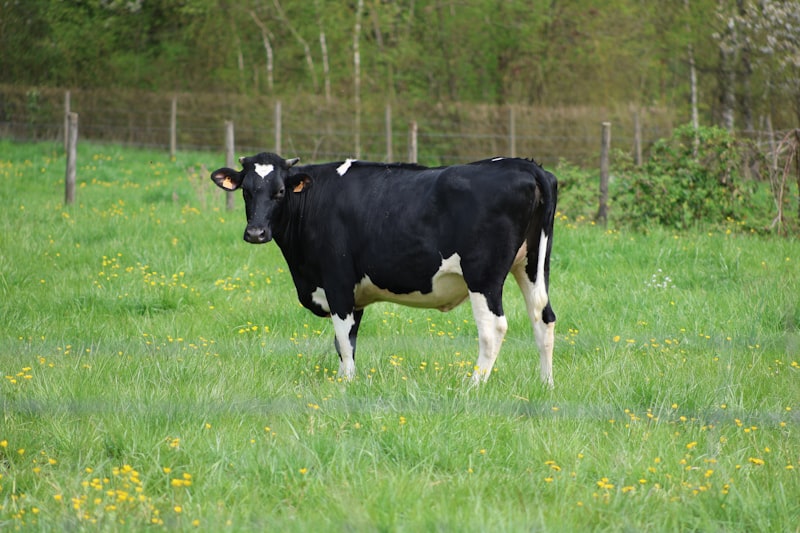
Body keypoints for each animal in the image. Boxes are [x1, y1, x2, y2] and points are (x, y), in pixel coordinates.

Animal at [210, 153, 557, 385]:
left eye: (280, 191)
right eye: (246, 191)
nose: (256, 233)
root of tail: (524, 164)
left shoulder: (337, 281)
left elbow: (342, 336)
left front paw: (347, 383)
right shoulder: (354, 292)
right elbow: (347, 340)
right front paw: (343, 377)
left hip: (483, 275)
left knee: (493, 328)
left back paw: (473, 385)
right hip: (532, 265)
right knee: (543, 317)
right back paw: (545, 384)